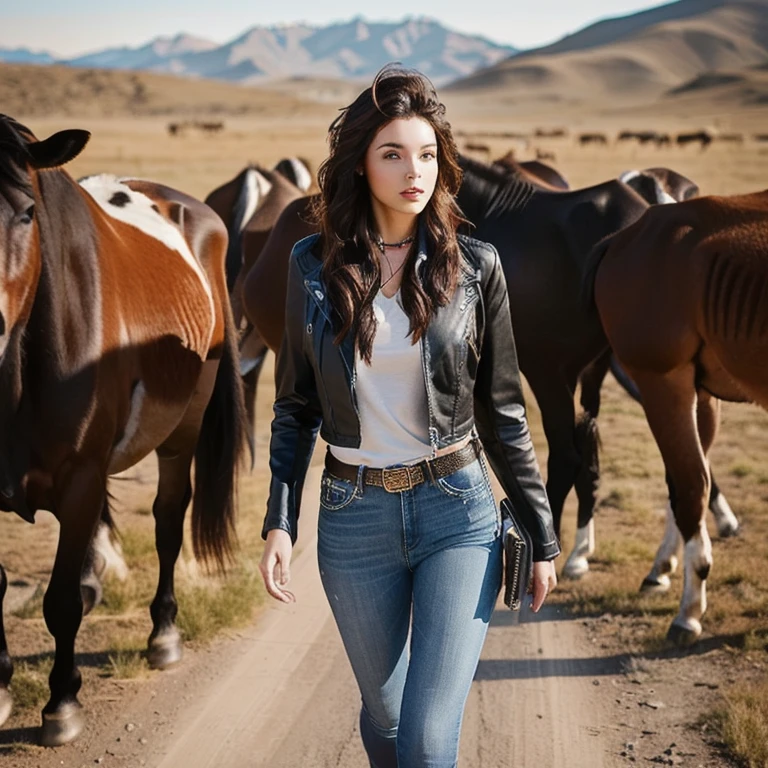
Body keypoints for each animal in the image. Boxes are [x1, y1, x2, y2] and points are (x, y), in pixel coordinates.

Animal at [0, 117, 246, 748]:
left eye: (26, 213)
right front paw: (2, 687)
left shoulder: (81, 477)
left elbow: (61, 602)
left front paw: (61, 704)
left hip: (183, 430)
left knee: (167, 521)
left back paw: (163, 633)